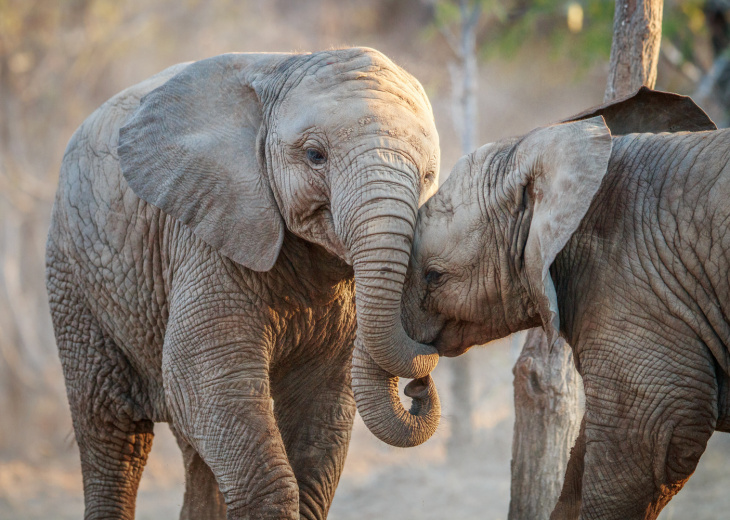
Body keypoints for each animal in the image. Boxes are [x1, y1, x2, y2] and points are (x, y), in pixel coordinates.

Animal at [48, 47, 440, 520]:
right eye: (315, 155)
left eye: (428, 177)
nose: (419, 388)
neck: (285, 66)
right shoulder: (207, 236)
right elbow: (203, 378)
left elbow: (320, 401)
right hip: (72, 275)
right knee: (111, 429)